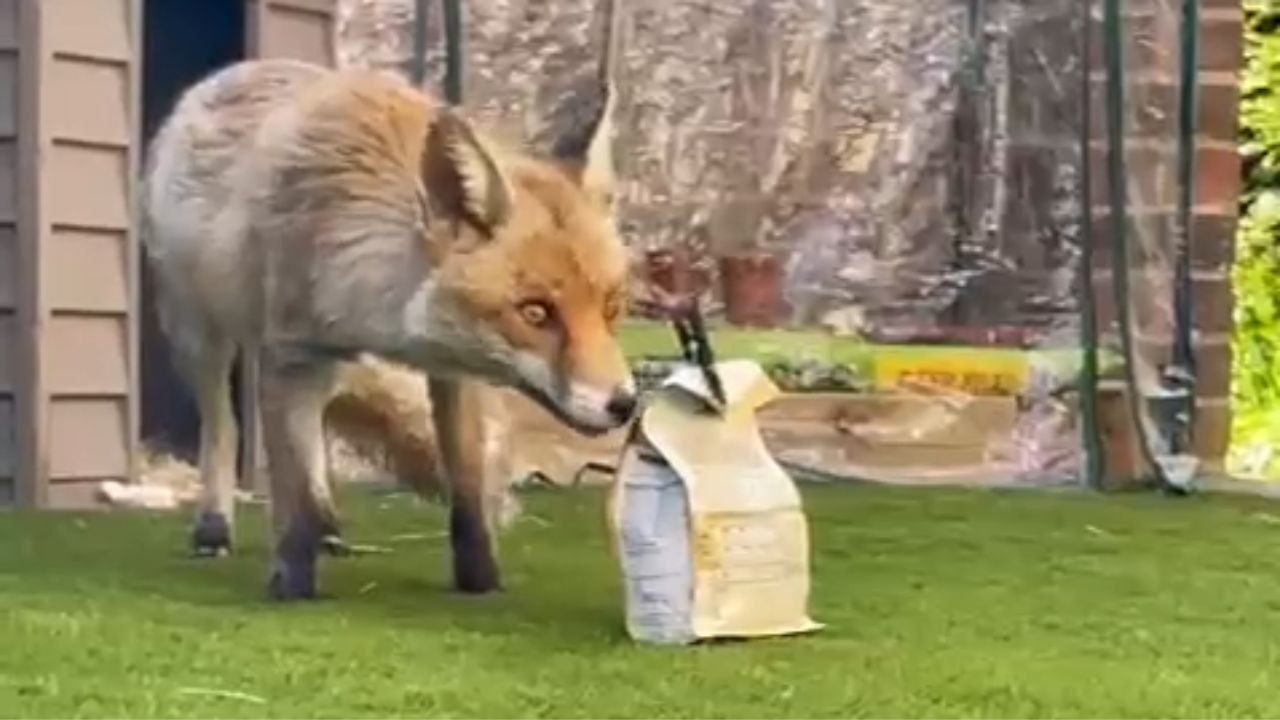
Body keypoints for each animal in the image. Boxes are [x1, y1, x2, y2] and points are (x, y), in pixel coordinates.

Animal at [141, 58, 636, 600]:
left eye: (612, 307)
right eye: (535, 312)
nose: (625, 404)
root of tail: (224, 74)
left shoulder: (453, 370)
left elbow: (467, 489)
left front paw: (480, 580)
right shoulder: (293, 354)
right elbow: (293, 495)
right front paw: (291, 583)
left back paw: (329, 526)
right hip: (199, 335)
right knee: (224, 428)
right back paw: (215, 527)